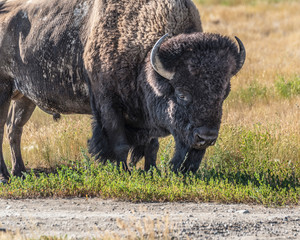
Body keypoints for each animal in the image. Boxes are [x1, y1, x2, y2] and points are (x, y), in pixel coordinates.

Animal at [0, 0, 244, 183]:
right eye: (182, 94)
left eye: (223, 95)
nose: (206, 137)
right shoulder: (109, 106)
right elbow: (120, 144)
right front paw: (123, 172)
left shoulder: (147, 117)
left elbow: (152, 146)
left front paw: (151, 171)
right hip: (4, 89)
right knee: (5, 127)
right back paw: (6, 177)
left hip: (24, 97)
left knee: (14, 129)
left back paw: (20, 172)